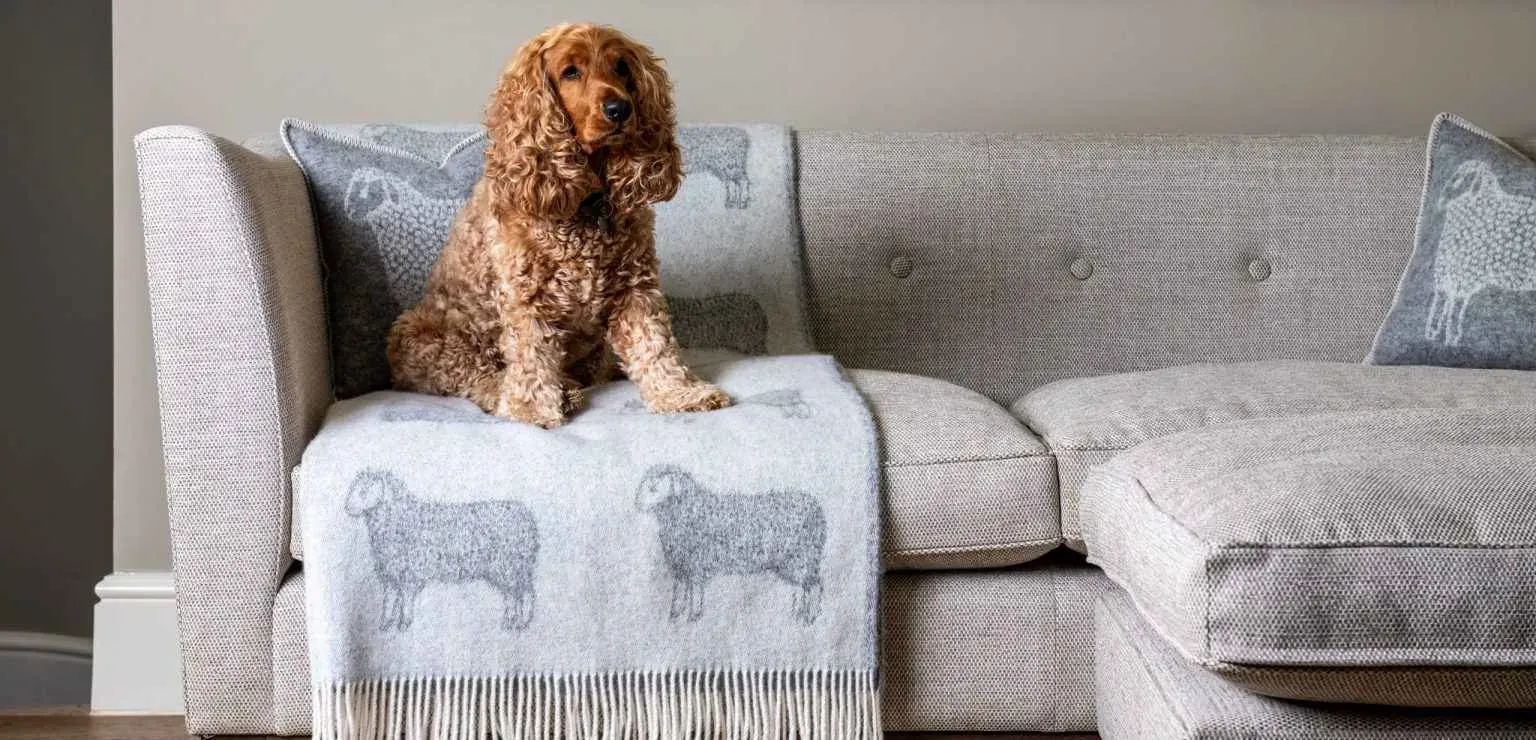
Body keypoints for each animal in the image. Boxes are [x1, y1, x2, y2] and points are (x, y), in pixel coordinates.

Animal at [393, 23, 734, 426]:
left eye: (622, 68)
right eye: (571, 72)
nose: (620, 108)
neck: (588, 204)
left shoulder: (636, 289)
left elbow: (656, 345)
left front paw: (680, 393)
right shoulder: (527, 298)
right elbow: (531, 358)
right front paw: (530, 411)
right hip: (420, 340)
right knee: (475, 375)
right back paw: (541, 393)